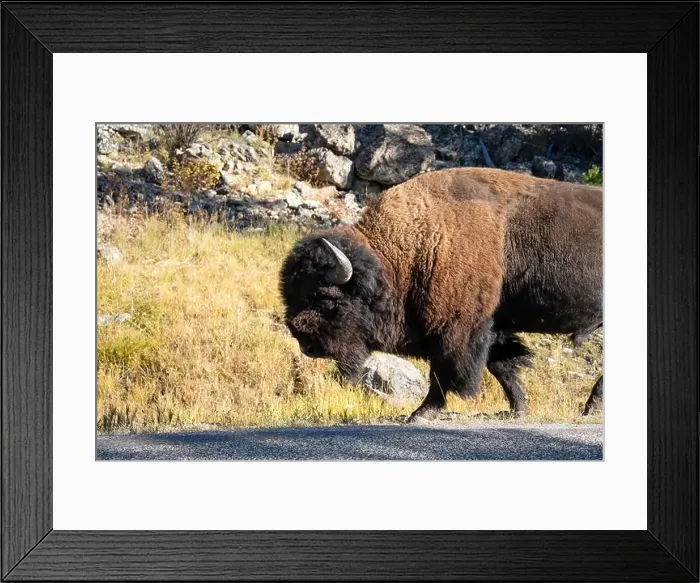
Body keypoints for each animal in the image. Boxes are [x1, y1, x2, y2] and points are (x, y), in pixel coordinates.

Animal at [280, 167, 602, 421]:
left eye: (326, 299)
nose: (306, 344)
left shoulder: (455, 329)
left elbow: (445, 372)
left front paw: (421, 413)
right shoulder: (490, 327)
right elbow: (502, 366)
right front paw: (518, 410)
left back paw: (590, 408)